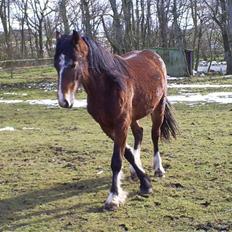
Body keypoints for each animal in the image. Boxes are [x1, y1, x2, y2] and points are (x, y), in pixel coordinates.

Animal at [54, 30, 178, 210]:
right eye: (56, 65)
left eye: (73, 64)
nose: (64, 101)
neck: (107, 87)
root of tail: (154, 55)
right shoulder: (107, 126)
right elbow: (126, 153)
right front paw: (144, 182)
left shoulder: (121, 123)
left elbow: (117, 160)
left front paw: (113, 198)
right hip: (133, 117)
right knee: (139, 133)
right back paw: (136, 171)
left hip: (158, 109)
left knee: (154, 135)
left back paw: (158, 168)